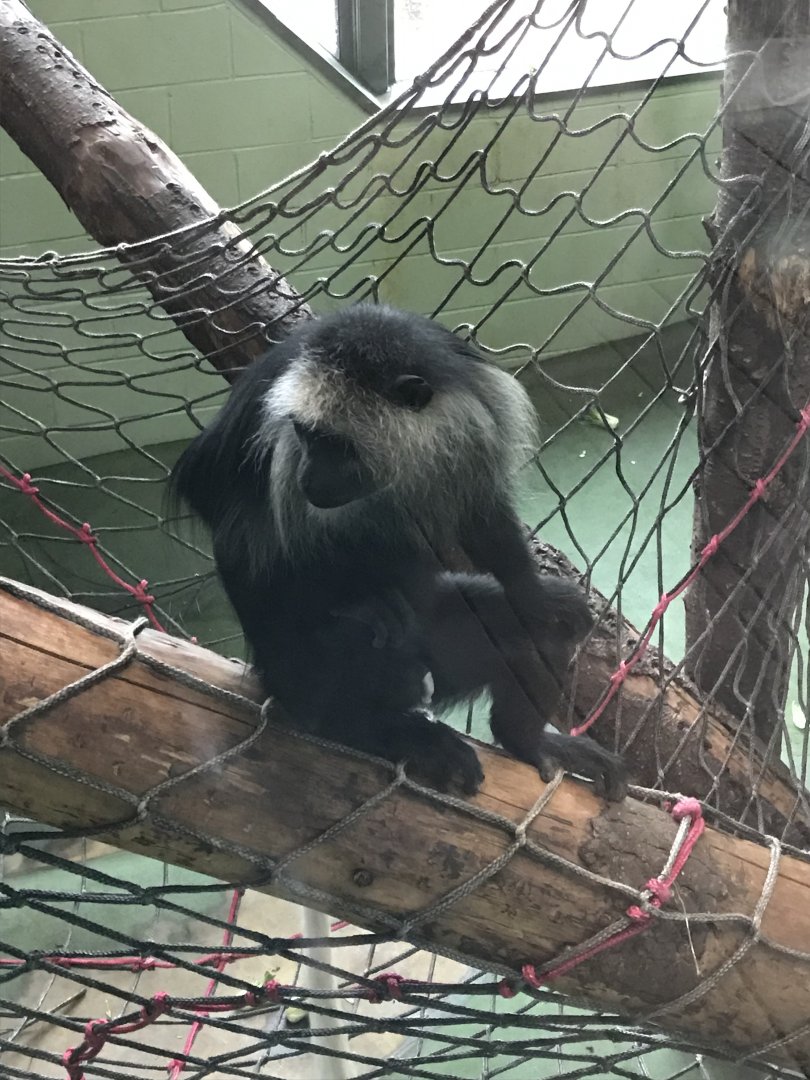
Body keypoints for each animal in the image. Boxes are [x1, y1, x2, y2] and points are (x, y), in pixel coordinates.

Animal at [170, 304, 626, 800]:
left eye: (336, 446)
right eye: (307, 436)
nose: (310, 476)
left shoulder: (473, 411)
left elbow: (481, 514)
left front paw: (532, 594)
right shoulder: (267, 417)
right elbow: (216, 502)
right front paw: (360, 600)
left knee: (546, 625)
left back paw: (525, 738)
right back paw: (368, 721)